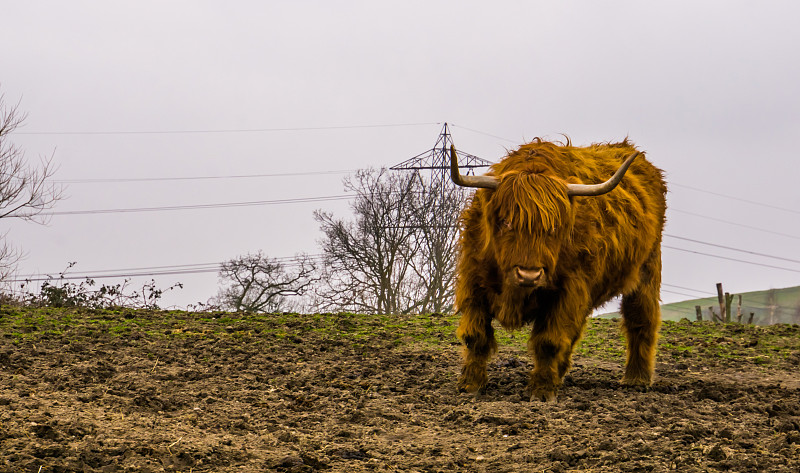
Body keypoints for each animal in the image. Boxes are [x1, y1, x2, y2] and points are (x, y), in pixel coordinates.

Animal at [450, 138, 668, 400]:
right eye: (506, 222)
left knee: (641, 318)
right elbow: (476, 336)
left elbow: (549, 341)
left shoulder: (568, 291)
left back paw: (636, 379)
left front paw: (542, 391)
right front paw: (470, 385)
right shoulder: (473, 284)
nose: (529, 274)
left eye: (553, 227)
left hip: (647, 268)